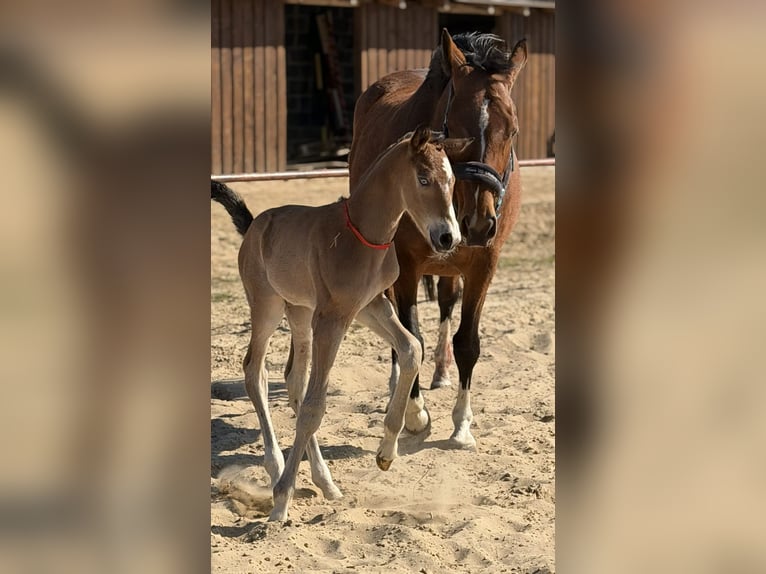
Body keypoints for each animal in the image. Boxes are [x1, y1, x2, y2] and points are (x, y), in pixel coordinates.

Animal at [212, 126, 470, 522]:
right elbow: (315, 407)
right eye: (423, 179)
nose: (448, 238)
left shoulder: (369, 306)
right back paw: (276, 471)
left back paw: (325, 482)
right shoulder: (333, 317)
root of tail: (254, 224)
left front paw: (386, 453)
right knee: (255, 372)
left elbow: (411, 348)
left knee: (293, 380)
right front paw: (281, 502)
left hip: (300, 314)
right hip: (267, 306)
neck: (363, 235)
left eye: (452, 179)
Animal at [348, 30, 528, 449]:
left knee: (446, 304)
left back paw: (442, 372)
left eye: (512, 131)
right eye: (454, 127)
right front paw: (415, 415)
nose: (478, 223)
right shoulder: (405, 263)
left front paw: (462, 425)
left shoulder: (483, 264)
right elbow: (410, 334)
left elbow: (468, 342)